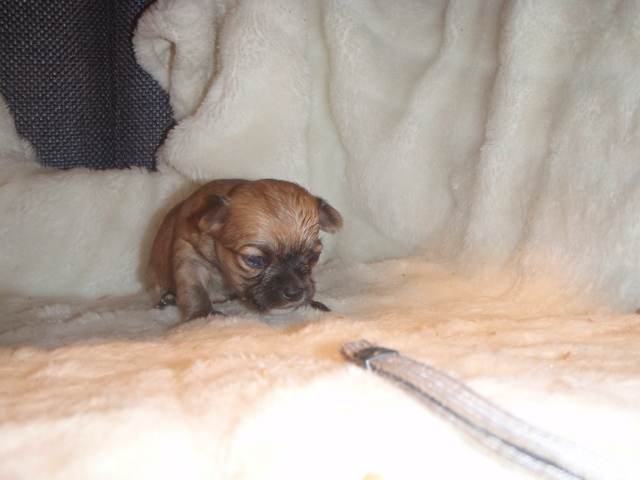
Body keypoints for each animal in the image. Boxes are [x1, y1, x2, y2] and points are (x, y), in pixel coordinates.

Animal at [147, 179, 343, 322]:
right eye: (255, 260)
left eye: (313, 257)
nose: (295, 293)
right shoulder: (189, 258)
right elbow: (195, 290)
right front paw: (202, 315)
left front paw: (312, 303)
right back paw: (168, 298)